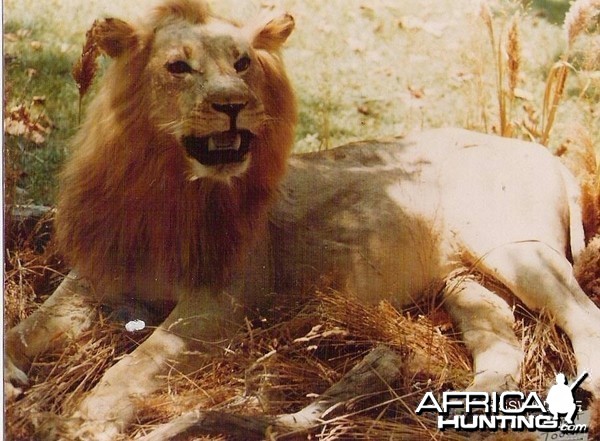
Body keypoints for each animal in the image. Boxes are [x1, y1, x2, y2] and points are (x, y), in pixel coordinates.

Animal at [4, 0, 600, 438]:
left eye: (243, 63)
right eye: (178, 66)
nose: (233, 103)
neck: (164, 187)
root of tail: (548, 155)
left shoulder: (221, 303)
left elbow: (140, 360)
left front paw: (84, 420)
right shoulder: (90, 281)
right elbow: (25, 327)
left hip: (515, 252)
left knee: (583, 316)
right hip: (465, 281)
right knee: (503, 346)